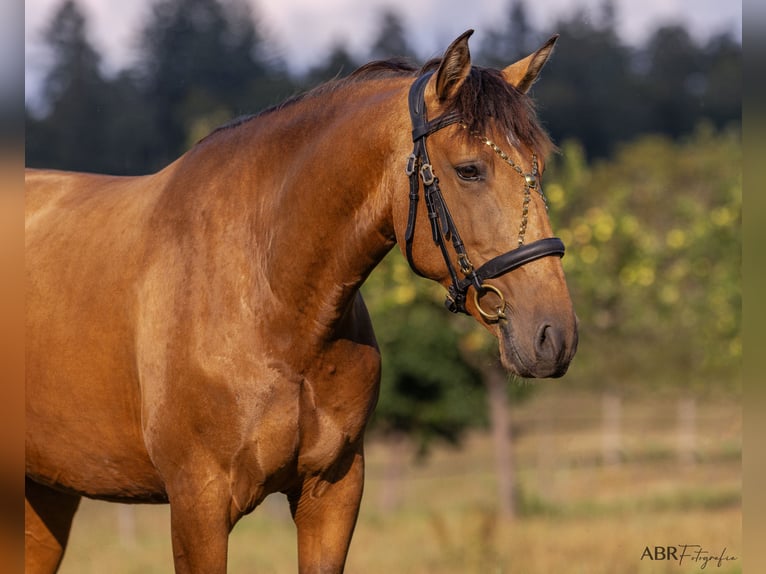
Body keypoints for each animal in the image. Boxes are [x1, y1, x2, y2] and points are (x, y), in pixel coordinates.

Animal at [25, 30, 577, 573]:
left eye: (539, 167)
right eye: (468, 170)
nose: (554, 336)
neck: (273, 305)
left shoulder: (332, 492)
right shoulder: (198, 505)